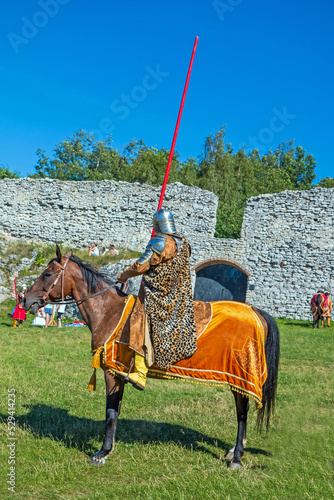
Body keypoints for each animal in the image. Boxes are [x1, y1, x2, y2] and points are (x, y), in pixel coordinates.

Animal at [23, 245, 280, 468]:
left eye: (48, 274)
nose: (26, 300)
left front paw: (102, 452)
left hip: (241, 377)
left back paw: (236, 458)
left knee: (242, 412)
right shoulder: (120, 373)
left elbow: (110, 412)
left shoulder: (112, 372)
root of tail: (254, 312)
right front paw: (109, 448)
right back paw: (235, 451)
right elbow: (116, 411)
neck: (109, 311)